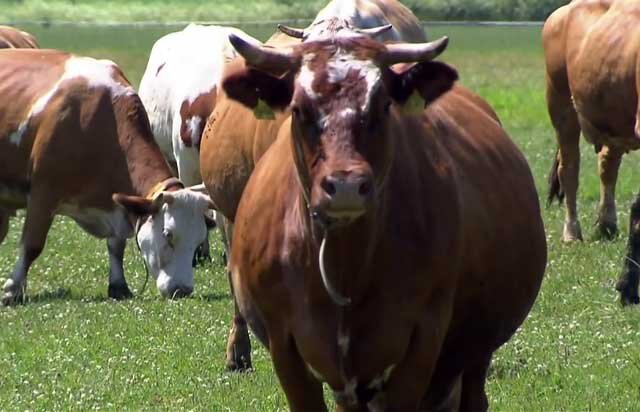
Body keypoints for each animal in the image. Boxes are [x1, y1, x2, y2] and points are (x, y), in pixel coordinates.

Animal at [0, 50, 215, 304]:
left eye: (198, 240)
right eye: (168, 234)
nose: (182, 289)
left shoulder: (116, 205)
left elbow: (116, 246)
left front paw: (118, 285)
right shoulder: (44, 193)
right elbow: (32, 245)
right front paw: (12, 289)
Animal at [222, 24, 548, 410]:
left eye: (382, 105)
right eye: (299, 109)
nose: (346, 185)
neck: (347, 269)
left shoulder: (421, 343)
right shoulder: (285, 347)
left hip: (476, 349)